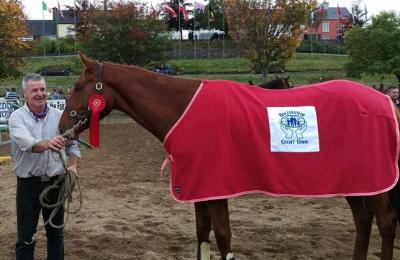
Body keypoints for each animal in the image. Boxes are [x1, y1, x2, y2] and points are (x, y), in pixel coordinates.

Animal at [59, 53, 400, 260]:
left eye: (77, 85)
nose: (62, 128)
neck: (183, 108)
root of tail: (385, 100)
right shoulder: (198, 187)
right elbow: (202, 234)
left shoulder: (216, 186)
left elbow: (223, 236)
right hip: (355, 181)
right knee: (363, 221)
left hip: (375, 182)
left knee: (385, 222)